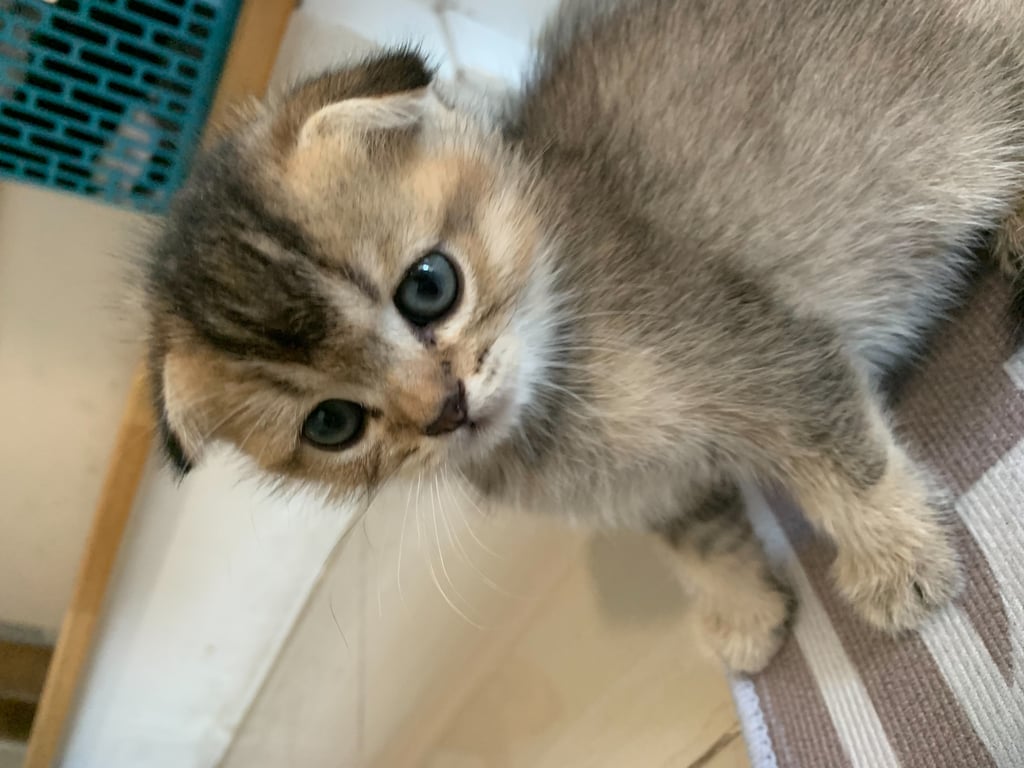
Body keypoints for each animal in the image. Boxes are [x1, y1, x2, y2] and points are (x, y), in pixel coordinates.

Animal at [144, 0, 1024, 673]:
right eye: (332, 424)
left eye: (429, 286)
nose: (445, 409)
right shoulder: (652, 487)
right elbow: (698, 542)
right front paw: (742, 615)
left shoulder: (761, 351)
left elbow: (843, 459)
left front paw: (897, 564)